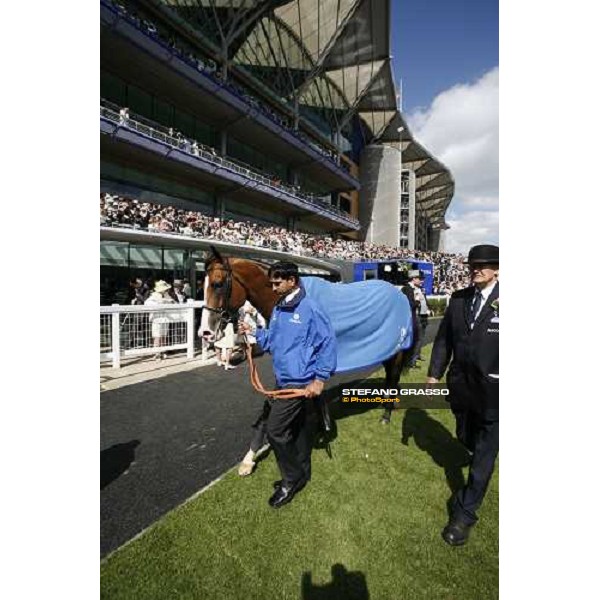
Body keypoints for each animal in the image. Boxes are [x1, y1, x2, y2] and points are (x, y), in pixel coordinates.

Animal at [199, 246, 414, 424]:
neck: (291, 299)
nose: (205, 332)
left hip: (397, 350)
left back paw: (386, 415)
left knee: (393, 376)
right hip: (387, 348)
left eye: (218, 284)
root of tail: (400, 292)